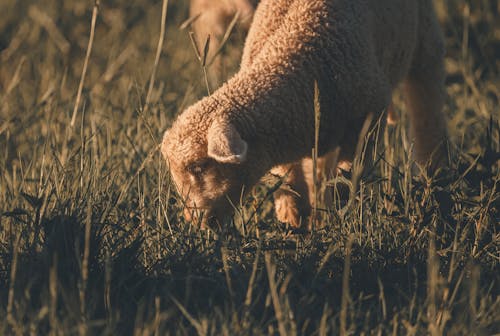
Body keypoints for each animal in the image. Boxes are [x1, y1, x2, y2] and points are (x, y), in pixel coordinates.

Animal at [164, 0, 450, 228]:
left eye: (199, 167)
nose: (195, 222)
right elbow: (290, 178)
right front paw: (294, 219)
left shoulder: (368, 114)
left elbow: (346, 177)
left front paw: (336, 216)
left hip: (425, 37)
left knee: (427, 105)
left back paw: (435, 178)